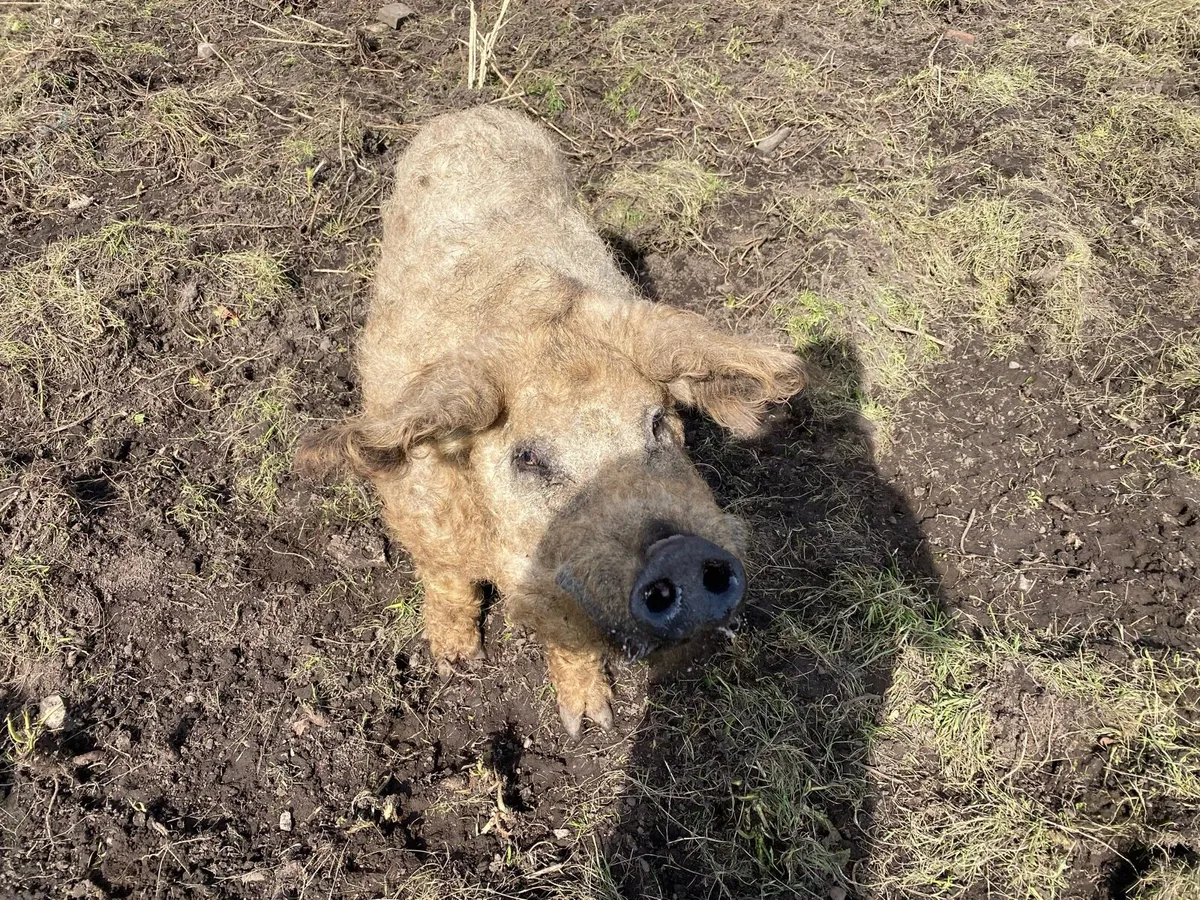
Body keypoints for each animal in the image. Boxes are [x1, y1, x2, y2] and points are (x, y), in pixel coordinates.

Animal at [295, 107, 807, 737]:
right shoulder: (422, 522)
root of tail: (472, 111)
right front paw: (456, 663)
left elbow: (570, 640)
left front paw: (590, 723)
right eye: (528, 457)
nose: (680, 555)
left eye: (658, 422)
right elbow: (448, 582)